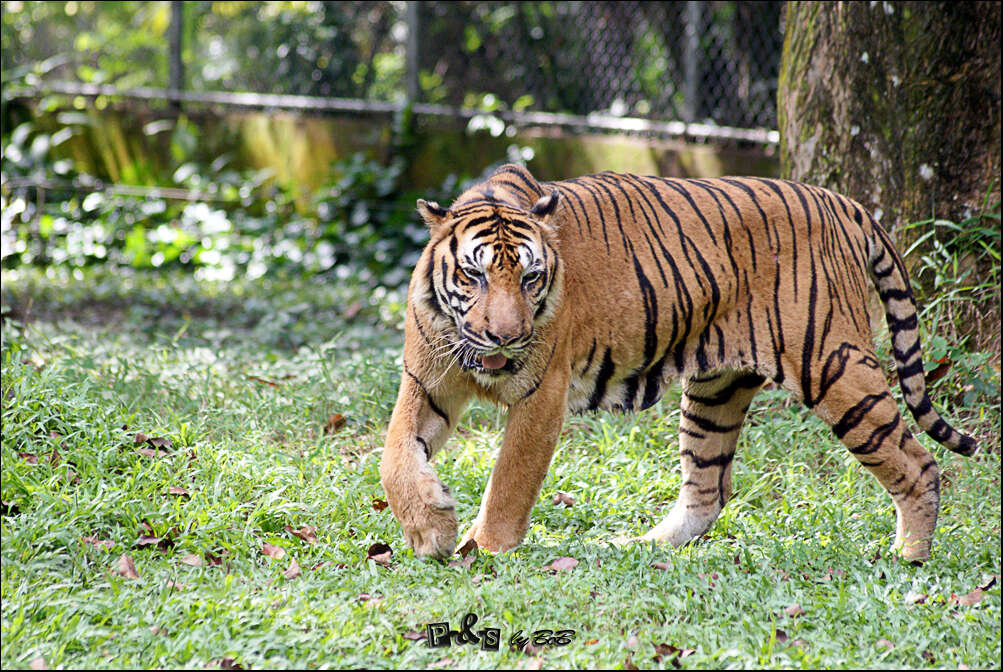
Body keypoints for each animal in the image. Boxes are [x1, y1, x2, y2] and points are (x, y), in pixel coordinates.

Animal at [377, 165, 970, 565]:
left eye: (530, 278)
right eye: (474, 276)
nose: (508, 336)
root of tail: (843, 202)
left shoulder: (541, 394)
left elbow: (509, 479)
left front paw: (485, 549)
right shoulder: (425, 383)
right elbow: (394, 455)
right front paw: (431, 529)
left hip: (832, 363)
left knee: (918, 462)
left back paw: (909, 558)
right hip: (716, 390)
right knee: (709, 491)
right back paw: (641, 546)